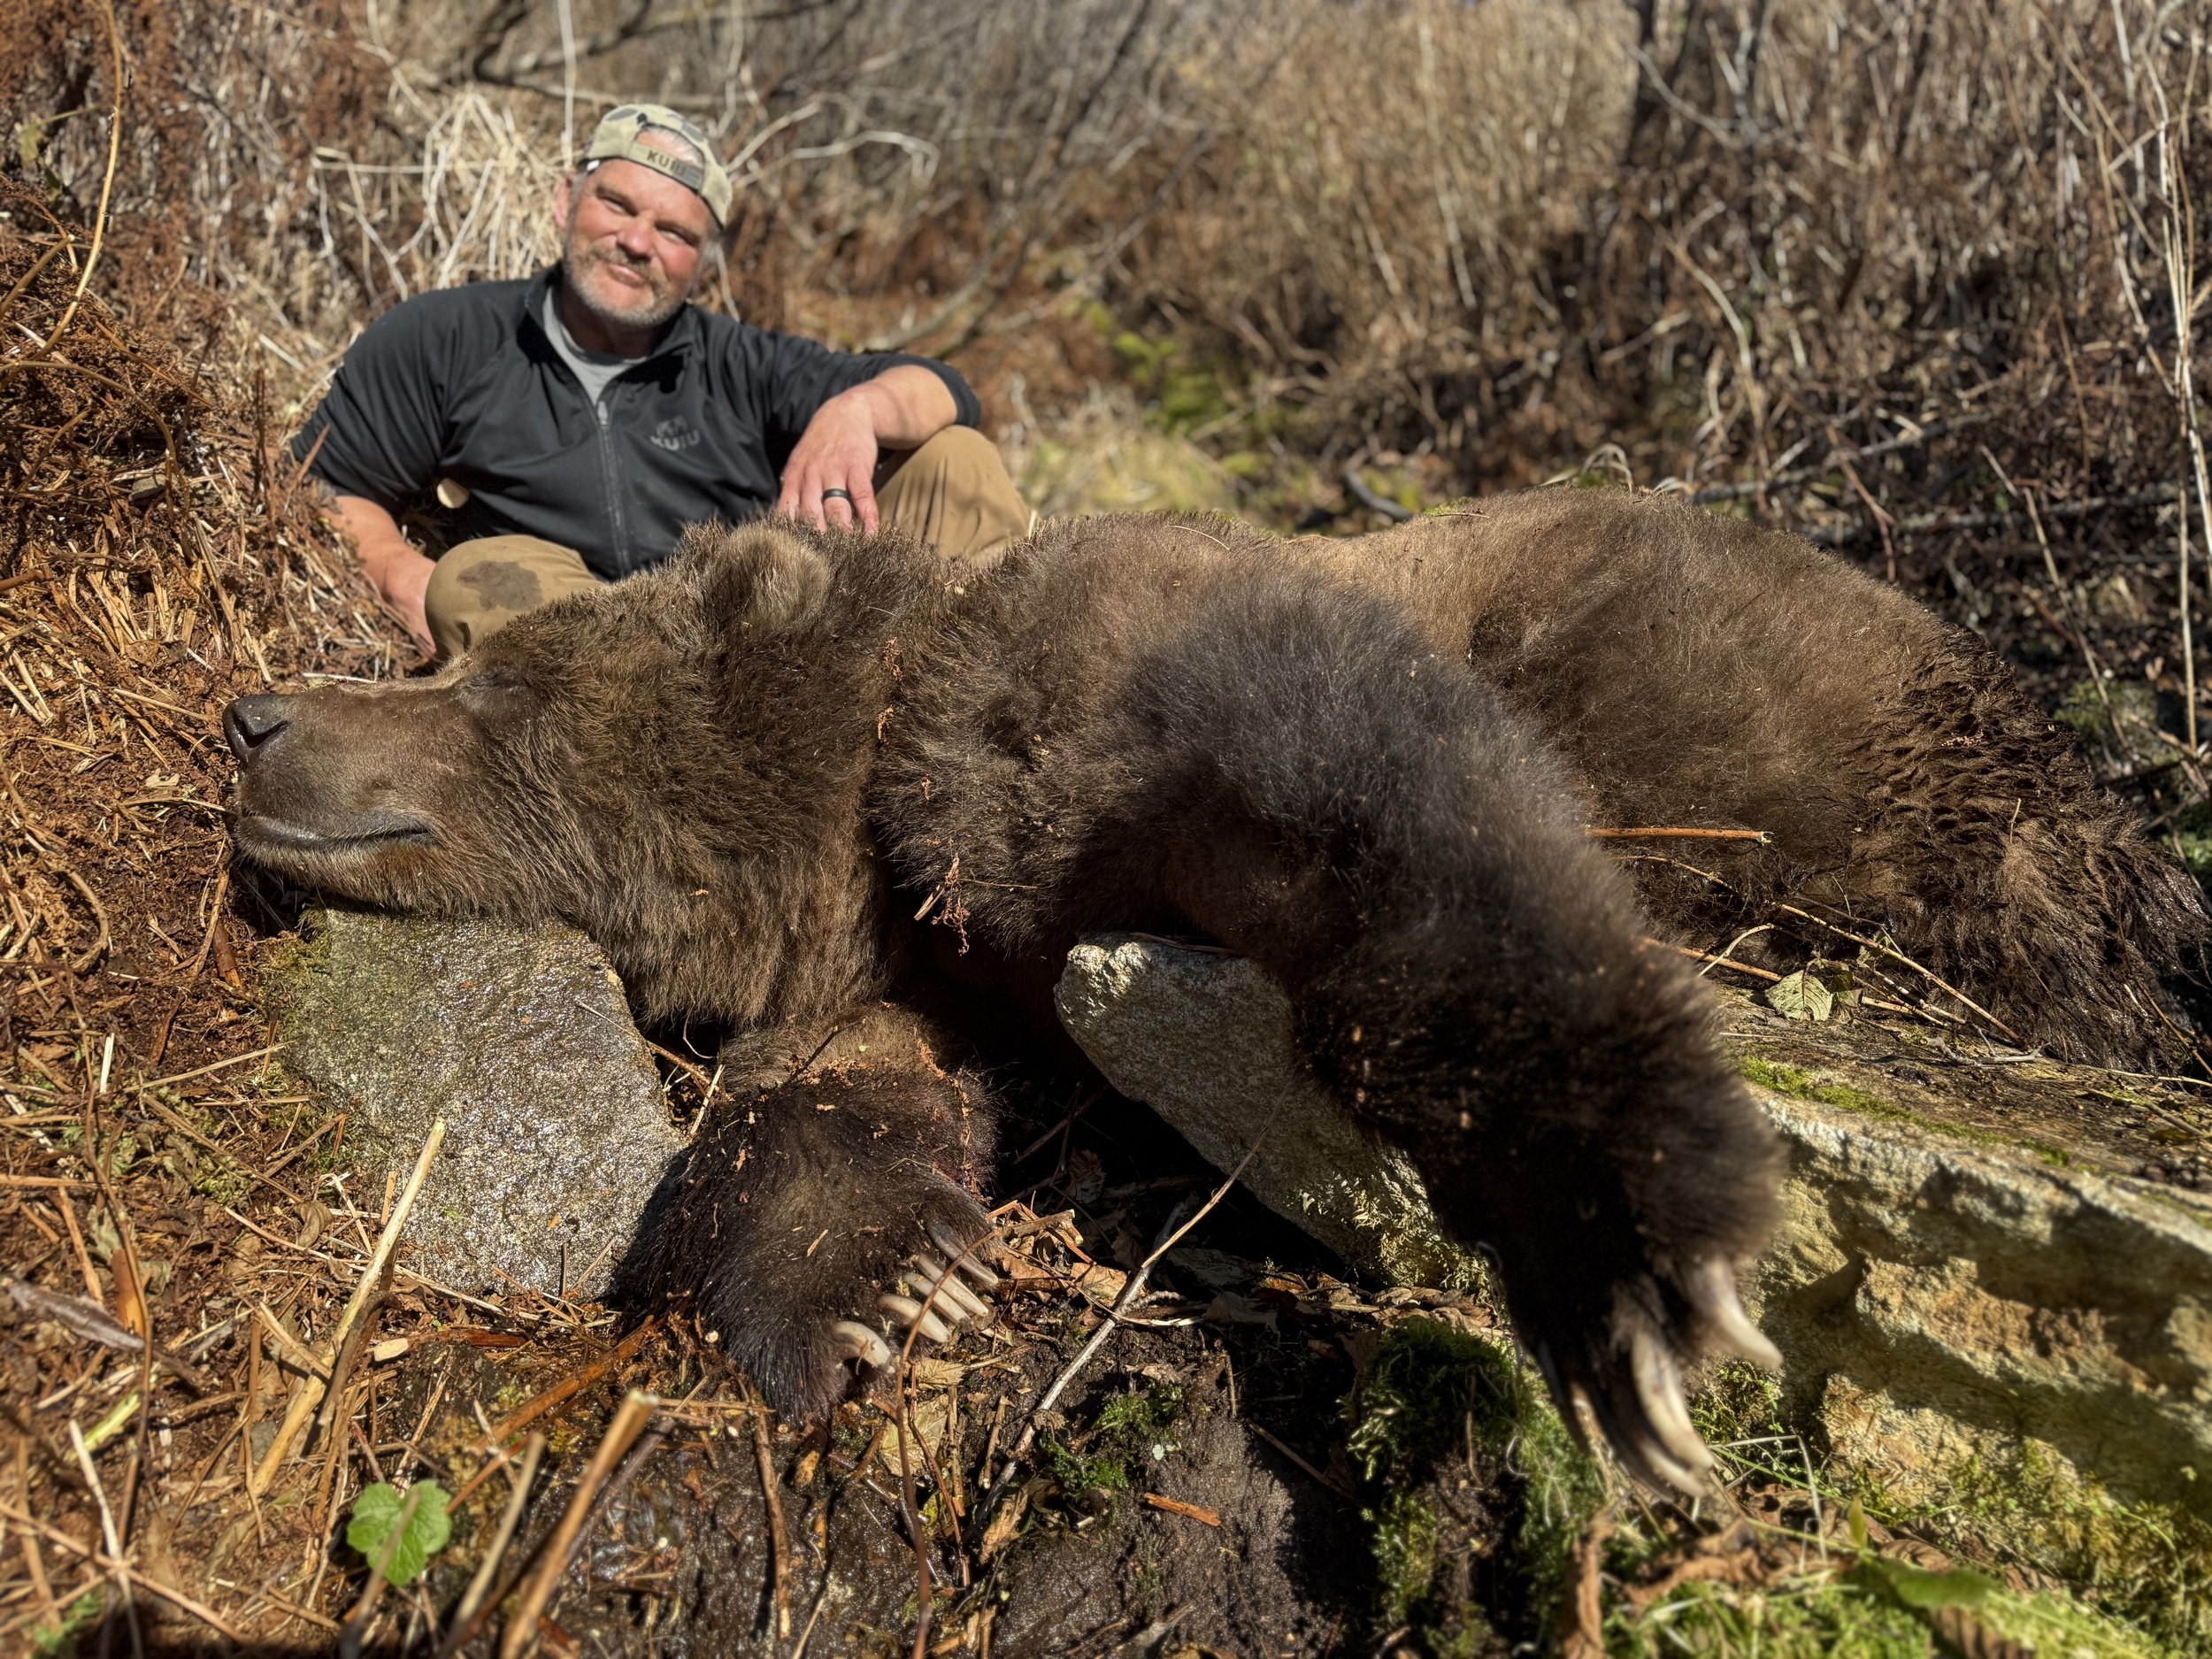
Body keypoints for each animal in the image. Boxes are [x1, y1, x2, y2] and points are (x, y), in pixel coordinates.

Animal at [222, 491, 2200, 1493]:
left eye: (482, 677)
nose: (253, 713)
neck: (857, 793)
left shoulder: (1124, 670)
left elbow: (1390, 813)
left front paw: (1615, 1230)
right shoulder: (923, 951)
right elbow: (834, 1103)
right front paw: (878, 1292)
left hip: (1776, 677)